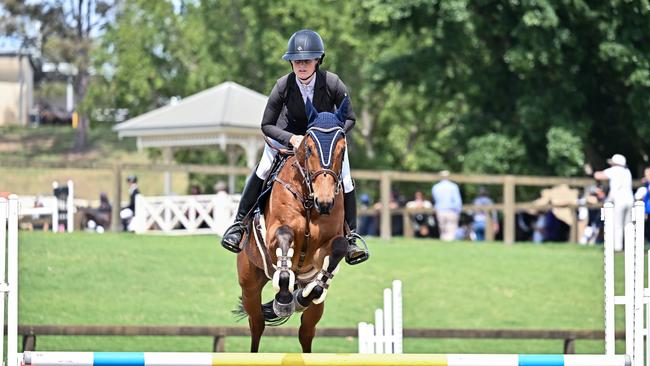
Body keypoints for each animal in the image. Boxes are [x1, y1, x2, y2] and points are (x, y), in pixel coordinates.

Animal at [234, 96, 350, 352]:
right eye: (308, 148)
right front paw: (284, 300)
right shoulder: (274, 235)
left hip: (315, 309)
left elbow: (339, 248)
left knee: (306, 333)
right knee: (257, 325)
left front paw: (302, 296)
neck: (308, 199)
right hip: (249, 285)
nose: (325, 202)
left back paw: (301, 298)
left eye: (342, 150)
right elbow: (285, 239)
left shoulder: (324, 248)